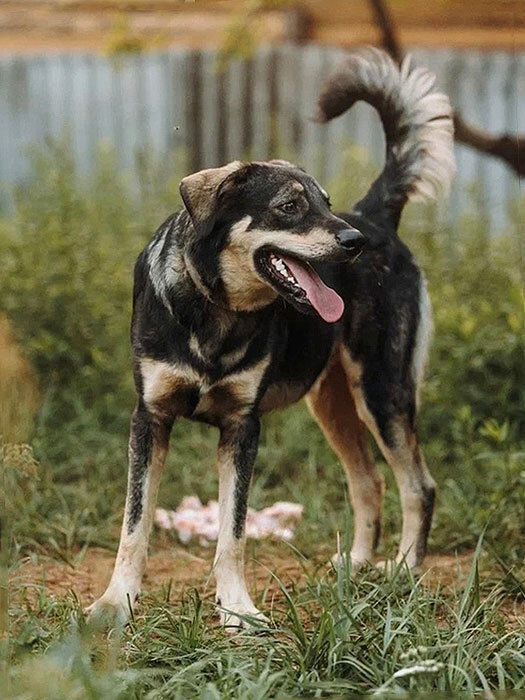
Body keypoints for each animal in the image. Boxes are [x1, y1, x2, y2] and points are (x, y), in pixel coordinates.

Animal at [88, 48, 455, 628]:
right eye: (289, 206)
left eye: (324, 202)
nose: (353, 243)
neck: (216, 308)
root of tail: (374, 216)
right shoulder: (150, 419)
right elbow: (134, 525)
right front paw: (115, 601)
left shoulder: (243, 426)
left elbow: (233, 532)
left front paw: (236, 609)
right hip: (332, 403)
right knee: (369, 482)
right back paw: (356, 566)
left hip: (382, 391)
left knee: (419, 486)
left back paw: (403, 571)